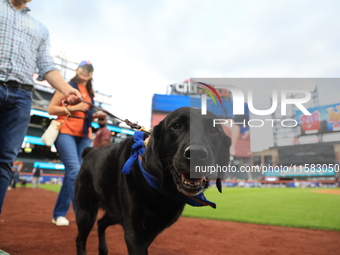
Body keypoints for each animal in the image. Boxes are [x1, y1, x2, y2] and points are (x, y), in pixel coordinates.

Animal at [74, 106, 231, 254]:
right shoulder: (135, 237)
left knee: (101, 223)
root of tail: (90, 151)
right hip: (86, 211)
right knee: (80, 239)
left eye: (214, 130)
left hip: (114, 212)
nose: (196, 154)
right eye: (176, 126)